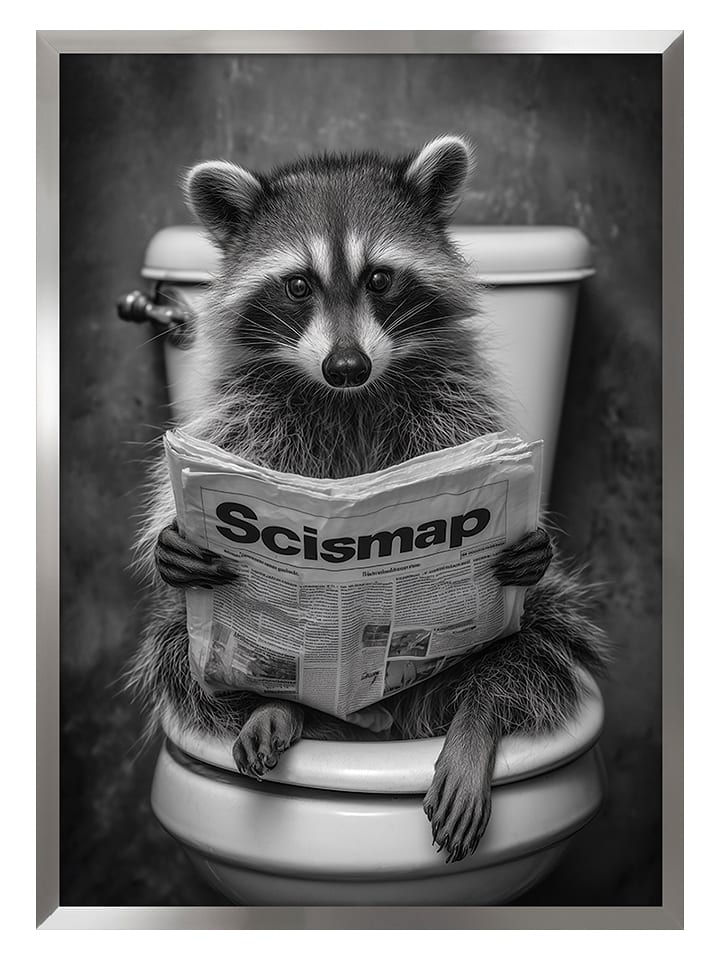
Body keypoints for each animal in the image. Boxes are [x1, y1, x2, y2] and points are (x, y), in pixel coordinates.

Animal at [128, 136, 608, 864]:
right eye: (298, 285)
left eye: (379, 279)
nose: (347, 366)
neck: (347, 398)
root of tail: (382, 719)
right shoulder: (250, 414)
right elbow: (209, 464)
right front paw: (171, 544)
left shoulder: (450, 406)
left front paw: (531, 546)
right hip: (221, 645)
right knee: (175, 644)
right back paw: (280, 707)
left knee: (540, 637)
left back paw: (476, 721)